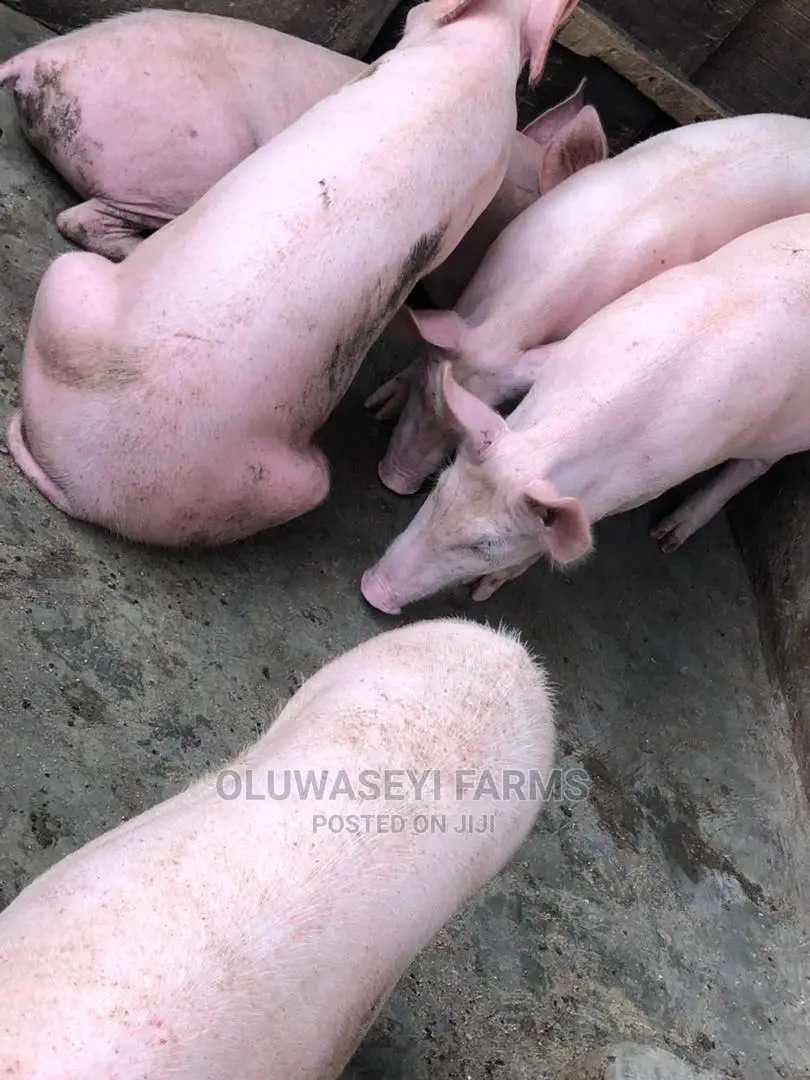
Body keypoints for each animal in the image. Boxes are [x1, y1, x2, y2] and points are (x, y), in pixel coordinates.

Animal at [360, 213, 810, 614]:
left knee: (755, 465)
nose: (371, 589)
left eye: (485, 545)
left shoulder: (635, 489)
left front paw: (482, 592)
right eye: (438, 491)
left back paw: (666, 538)